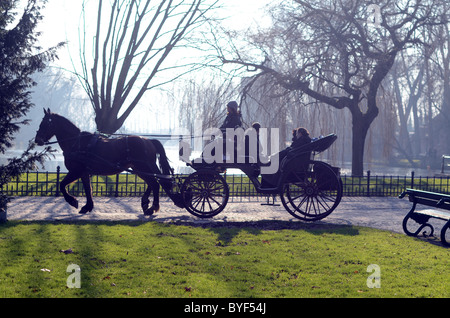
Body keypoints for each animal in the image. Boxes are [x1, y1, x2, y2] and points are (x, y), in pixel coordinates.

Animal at [34, 108, 184, 215]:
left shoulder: (76, 171)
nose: (37, 140)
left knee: (157, 183)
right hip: (139, 168)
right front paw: (87, 206)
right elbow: (88, 189)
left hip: (144, 166)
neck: (76, 142)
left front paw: (73, 201)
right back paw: (147, 204)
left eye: (45, 123)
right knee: (153, 183)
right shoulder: (84, 173)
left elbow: (62, 185)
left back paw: (153, 207)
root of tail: (148, 140)